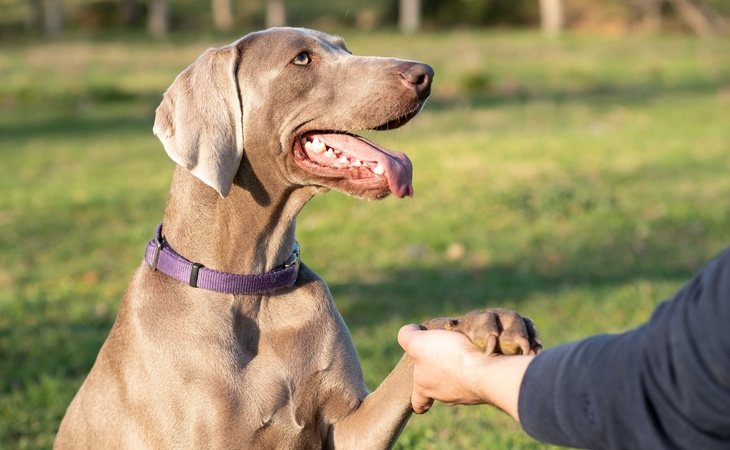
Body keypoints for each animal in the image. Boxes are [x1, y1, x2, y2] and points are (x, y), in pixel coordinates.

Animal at [54, 29, 536, 450]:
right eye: (302, 59)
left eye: (346, 48)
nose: (426, 73)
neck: (252, 284)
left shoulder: (349, 429)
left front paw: (486, 322)